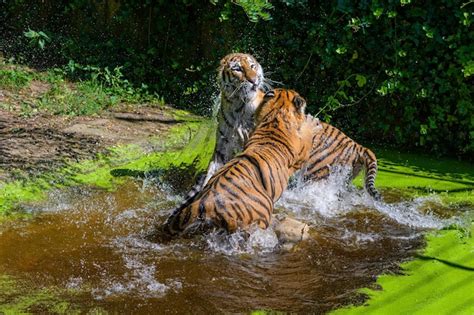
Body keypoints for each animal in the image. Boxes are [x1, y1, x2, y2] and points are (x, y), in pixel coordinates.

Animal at [161, 89, 320, 237]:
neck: (276, 114)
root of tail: (206, 201)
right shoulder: (302, 154)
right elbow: (307, 137)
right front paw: (312, 123)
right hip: (262, 214)